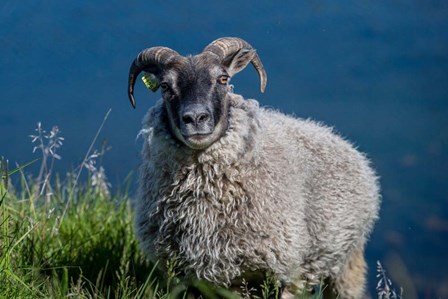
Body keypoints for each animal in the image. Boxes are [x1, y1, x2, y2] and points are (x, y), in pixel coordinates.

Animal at [127, 37, 382, 299]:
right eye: (165, 86)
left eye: (223, 79)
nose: (195, 118)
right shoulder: (191, 277)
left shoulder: (282, 271)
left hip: (346, 261)